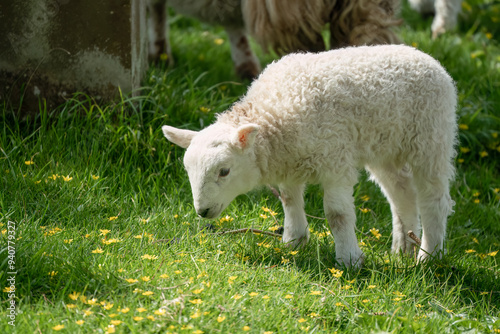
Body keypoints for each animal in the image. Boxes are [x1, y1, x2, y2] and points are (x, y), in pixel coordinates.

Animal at [163, 45, 458, 268]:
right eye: (188, 171)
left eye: (224, 171)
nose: (202, 211)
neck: (271, 119)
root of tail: (425, 57)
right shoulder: (289, 159)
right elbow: (289, 199)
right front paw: (294, 240)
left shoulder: (335, 159)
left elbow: (337, 215)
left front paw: (349, 260)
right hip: (385, 147)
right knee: (401, 194)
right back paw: (403, 248)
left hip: (431, 138)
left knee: (434, 199)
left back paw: (429, 256)